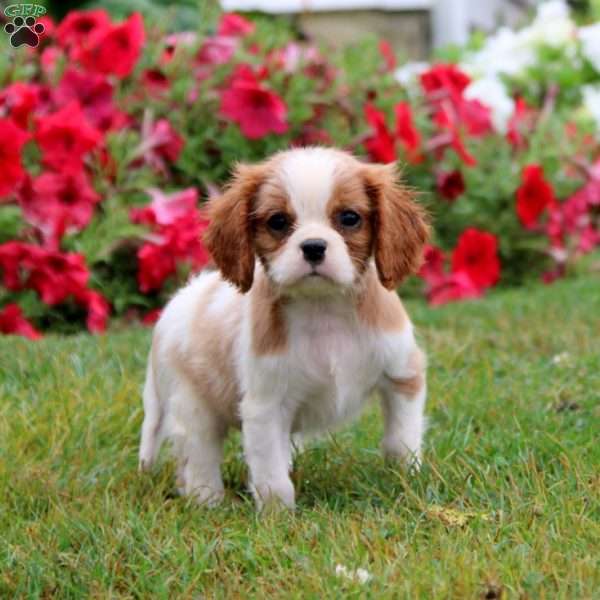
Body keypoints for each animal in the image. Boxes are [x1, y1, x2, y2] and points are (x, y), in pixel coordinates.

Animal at [139, 148, 432, 508]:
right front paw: (278, 514)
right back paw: (207, 501)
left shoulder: (402, 376)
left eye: (349, 218)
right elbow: (271, 471)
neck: (324, 309)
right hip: (189, 401)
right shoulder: (266, 406)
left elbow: (401, 439)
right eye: (278, 222)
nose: (314, 246)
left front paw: (406, 481)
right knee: (198, 454)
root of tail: (174, 305)